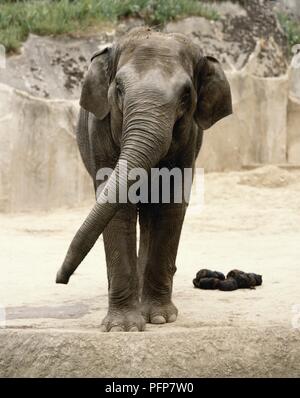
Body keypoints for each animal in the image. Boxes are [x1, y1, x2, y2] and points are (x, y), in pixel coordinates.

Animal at [56, 28, 234, 332]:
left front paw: (160, 319)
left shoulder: (189, 139)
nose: (59, 278)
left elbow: (170, 204)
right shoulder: (100, 131)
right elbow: (117, 208)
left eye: (186, 95)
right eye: (118, 88)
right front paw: (123, 328)